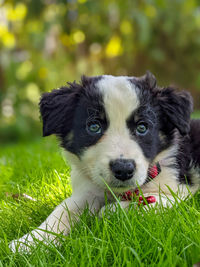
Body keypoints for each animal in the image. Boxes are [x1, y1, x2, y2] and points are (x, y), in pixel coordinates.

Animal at [9, 71, 200, 253]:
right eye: (94, 127)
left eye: (142, 127)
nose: (123, 170)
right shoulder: (86, 191)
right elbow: (62, 210)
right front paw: (30, 242)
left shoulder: (179, 192)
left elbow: (135, 205)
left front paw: (111, 210)